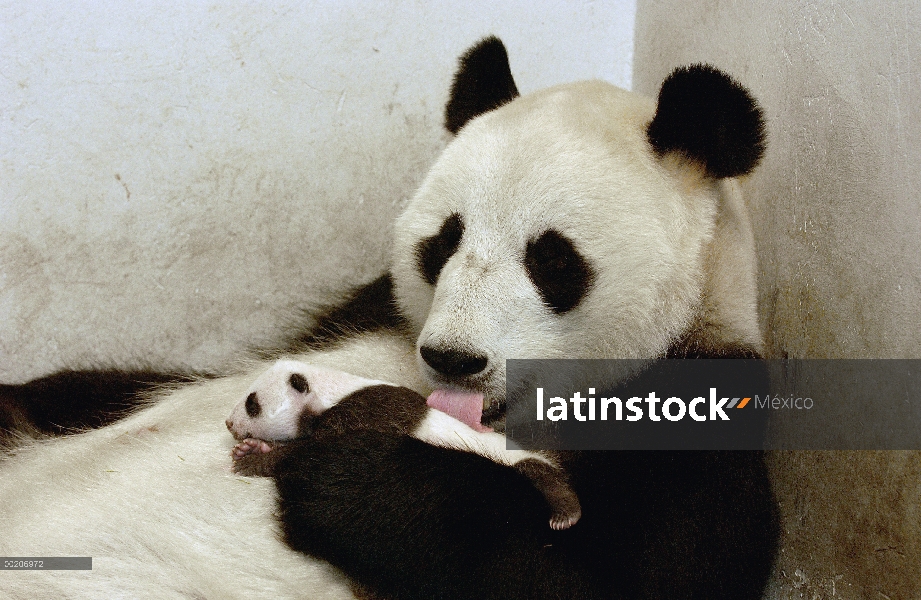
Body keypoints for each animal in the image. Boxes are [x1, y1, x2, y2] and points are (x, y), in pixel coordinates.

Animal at [0, 37, 776, 600]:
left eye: (553, 261)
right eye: (444, 242)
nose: (453, 359)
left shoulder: (694, 407)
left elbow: (613, 577)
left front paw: (351, 476)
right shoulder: (360, 314)